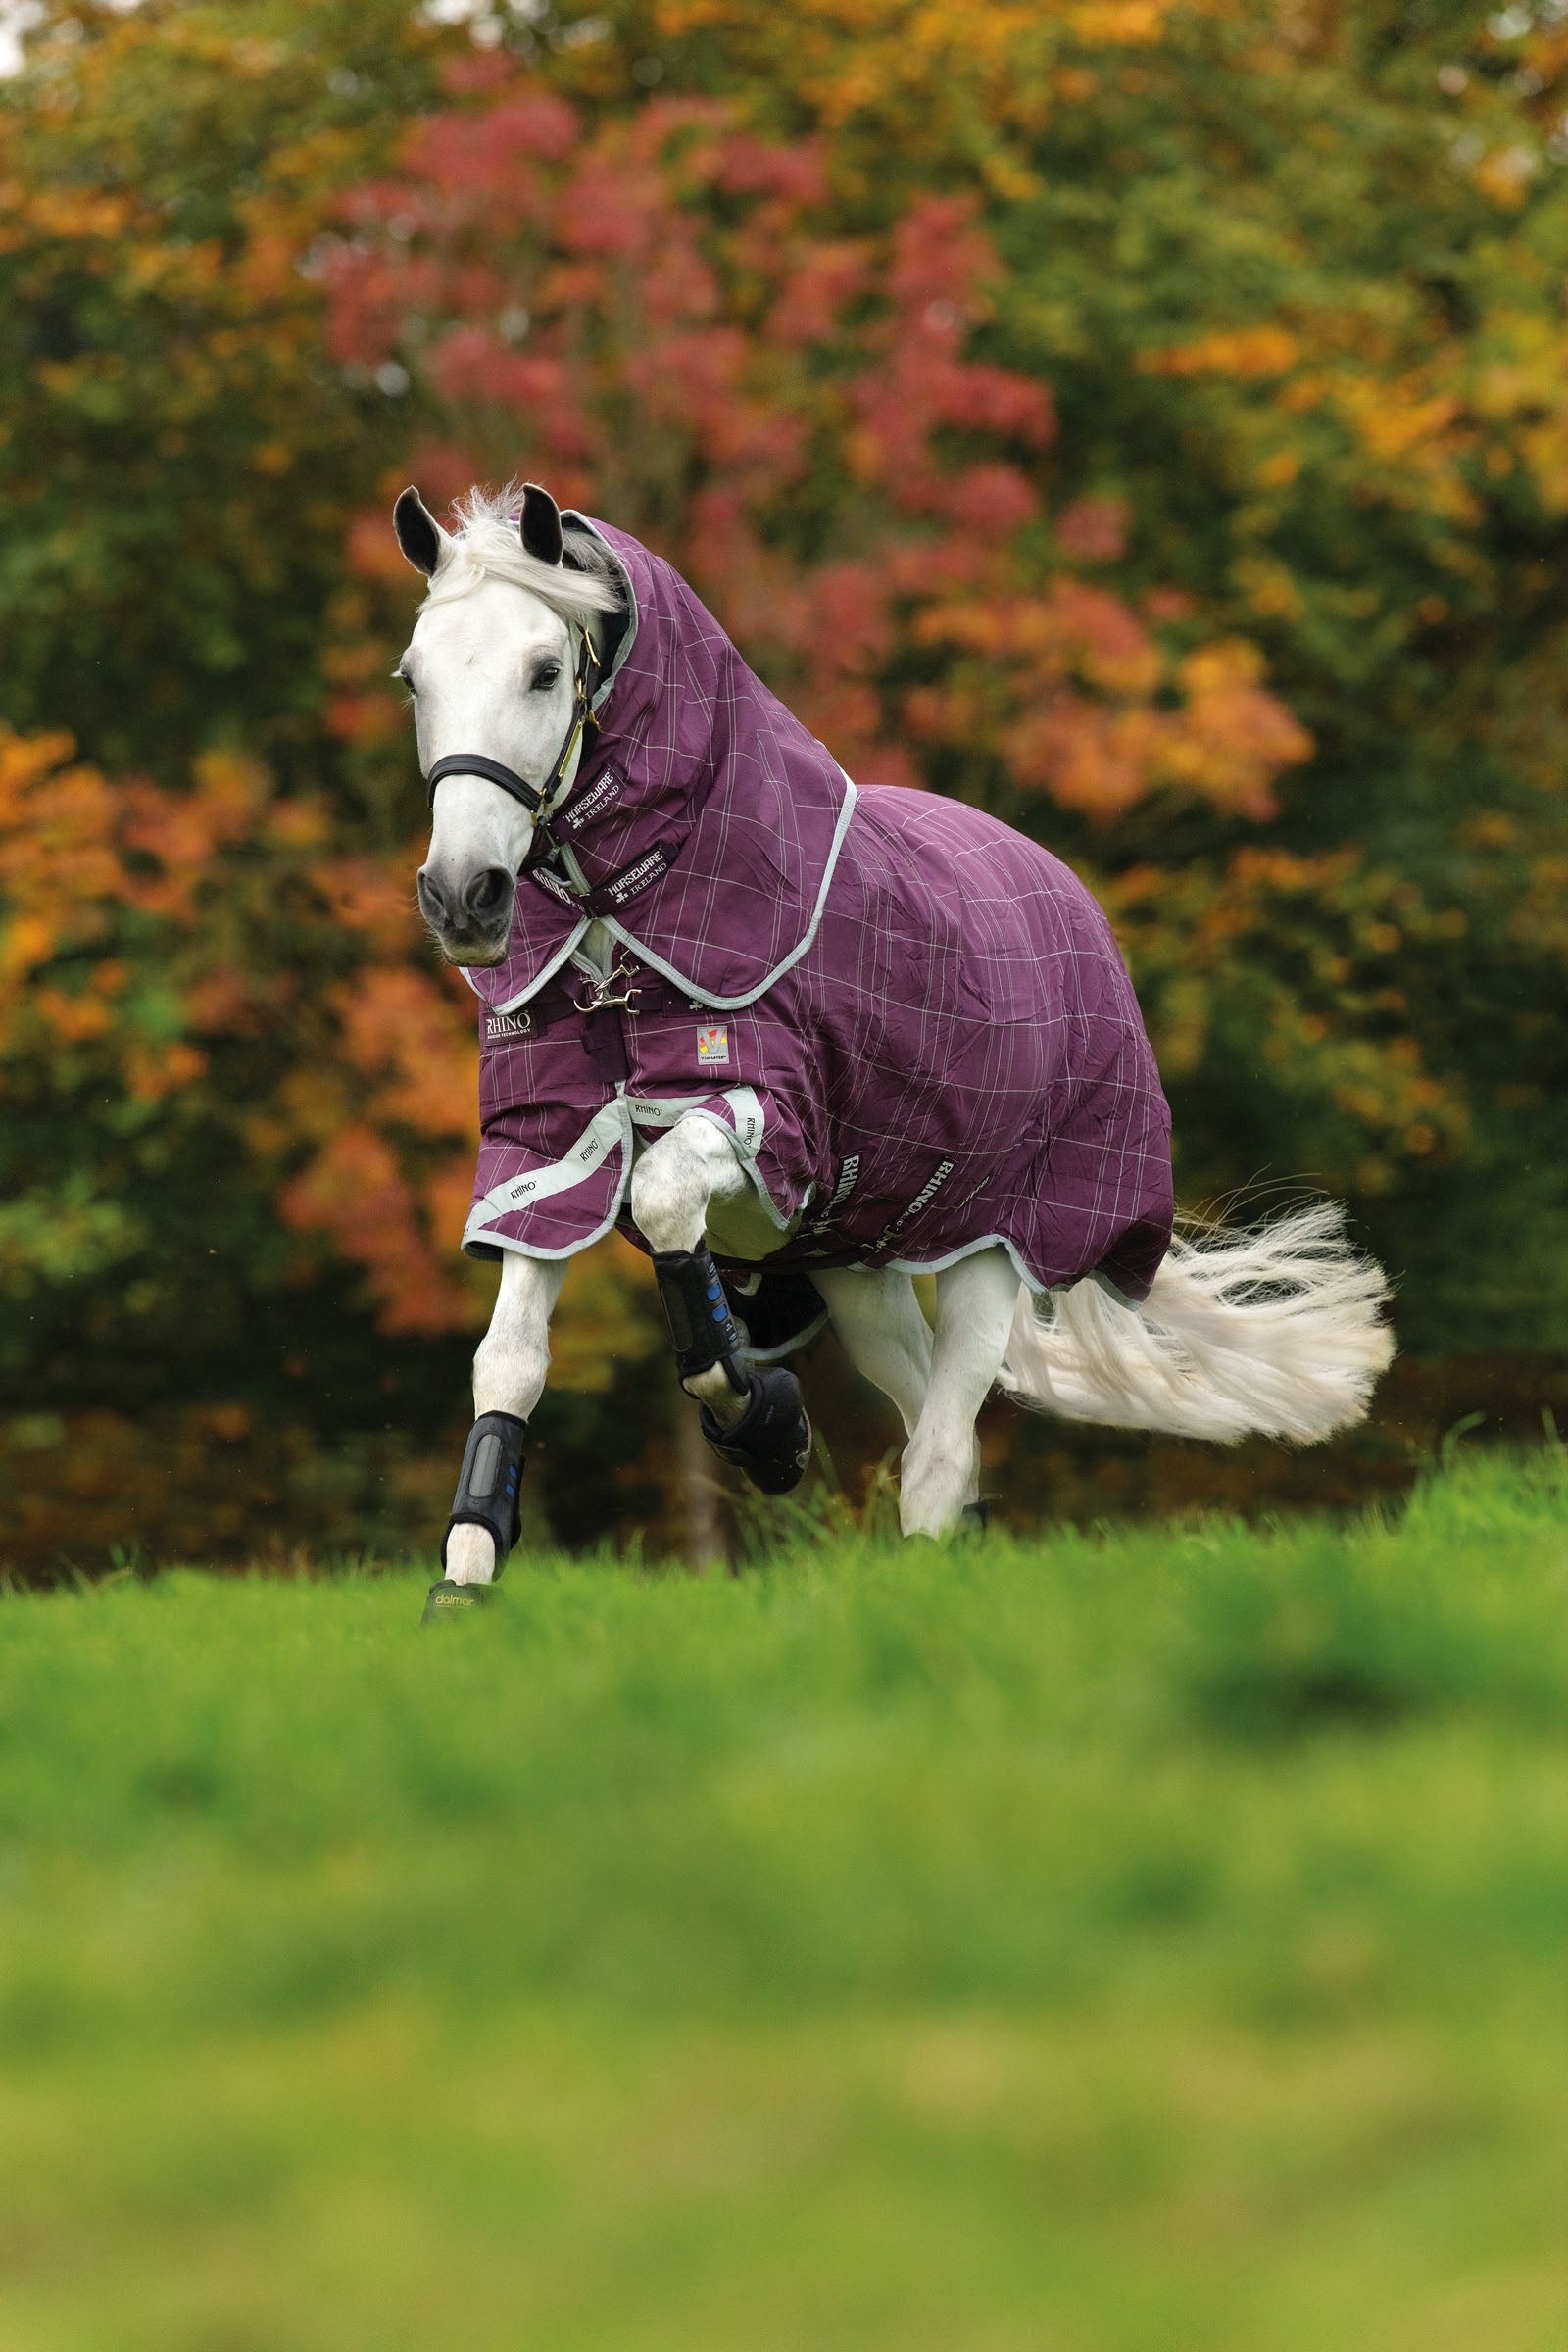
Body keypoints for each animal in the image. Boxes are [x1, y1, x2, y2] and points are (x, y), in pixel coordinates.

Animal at [393, 480, 1392, 1620]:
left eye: (545, 669)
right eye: (415, 676)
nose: (463, 897)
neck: (626, 930)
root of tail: (1075, 907)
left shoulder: (765, 1123)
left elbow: (662, 1199)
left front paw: (766, 1423)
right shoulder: (546, 1147)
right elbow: (510, 1358)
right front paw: (464, 1579)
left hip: (992, 1247)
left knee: (942, 1449)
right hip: (859, 1272)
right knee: (933, 1429)